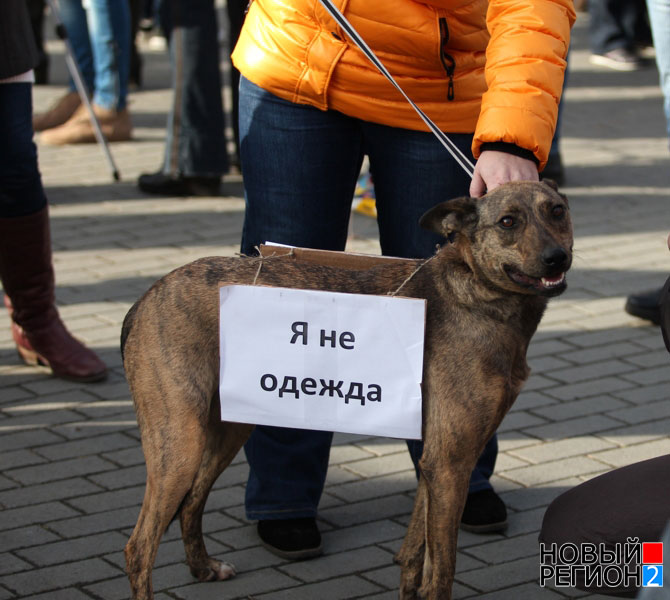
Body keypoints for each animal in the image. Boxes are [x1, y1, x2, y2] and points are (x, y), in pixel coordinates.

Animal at [123, 179, 576, 600]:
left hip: (226, 430)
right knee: (139, 546)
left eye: (557, 211)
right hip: (180, 445)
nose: (558, 257)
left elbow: (414, 554)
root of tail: (146, 297)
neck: (477, 291)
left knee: (191, 503)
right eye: (508, 222)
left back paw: (203, 568)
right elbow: (441, 570)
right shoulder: (451, 463)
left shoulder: (435, 461)